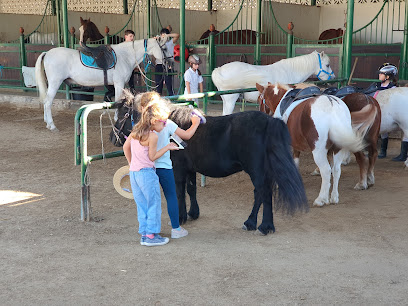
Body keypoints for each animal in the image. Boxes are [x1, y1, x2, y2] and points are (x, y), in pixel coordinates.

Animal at [35, 37, 166, 130]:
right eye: (163, 48)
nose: (166, 62)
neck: (125, 56)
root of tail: (47, 53)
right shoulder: (118, 83)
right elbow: (118, 100)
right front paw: (116, 119)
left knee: (46, 102)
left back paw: (47, 123)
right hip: (55, 83)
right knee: (48, 103)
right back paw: (52, 125)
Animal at [110, 95, 308, 234]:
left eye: (123, 114)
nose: (113, 138)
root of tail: (268, 121)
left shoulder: (178, 170)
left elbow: (179, 192)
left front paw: (180, 217)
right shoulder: (190, 169)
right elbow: (191, 190)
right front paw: (193, 213)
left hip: (256, 171)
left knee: (262, 193)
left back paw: (260, 225)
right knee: (262, 194)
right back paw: (259, 224)